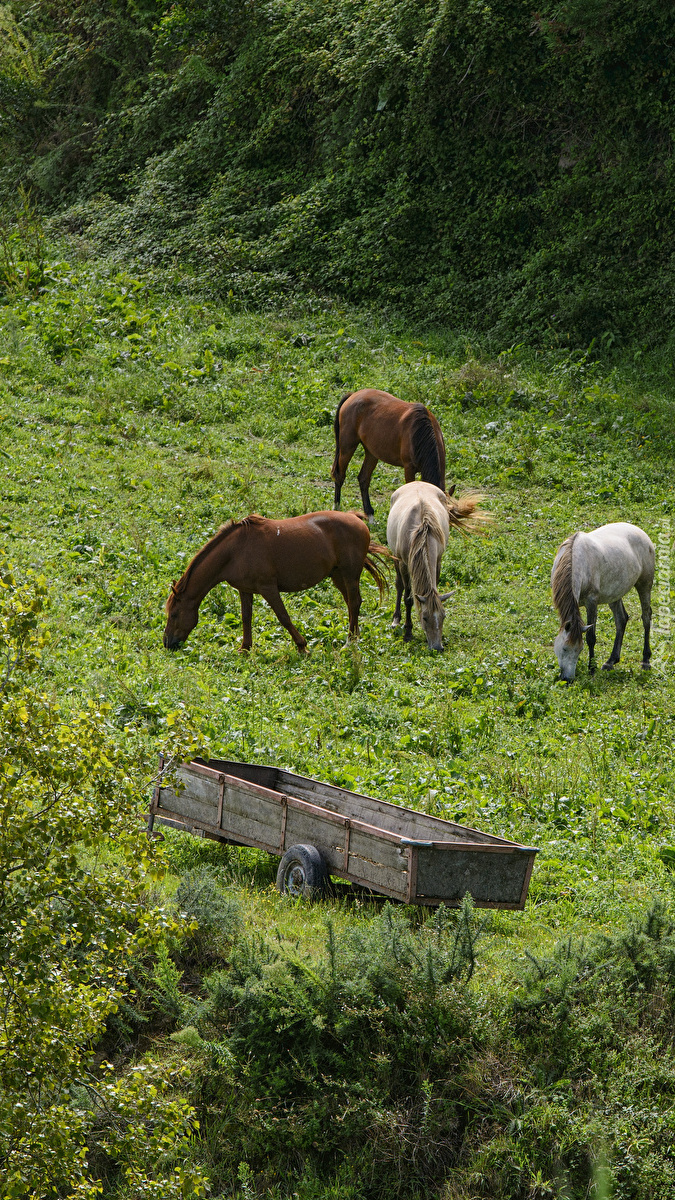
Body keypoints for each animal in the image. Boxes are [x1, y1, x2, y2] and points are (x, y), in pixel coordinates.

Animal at [160, 508, 389, 652]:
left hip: (349, 574)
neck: (236, 551)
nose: (167, 643)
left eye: (174, 614)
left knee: (354, 602)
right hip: (338, 576)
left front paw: (302, 646)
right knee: (352, 604)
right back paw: (354, 638)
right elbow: (246, 618)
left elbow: (283, 617)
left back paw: (350, 642)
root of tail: (356, 519)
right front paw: (245, 648)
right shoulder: (245, 590)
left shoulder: (268, 588)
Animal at [329, 388, 444, 520]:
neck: (420, 430)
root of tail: (353, 395)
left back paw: (370, 514)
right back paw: (337, 507)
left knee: (363, 478)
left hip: (372, 453)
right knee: (340, 475)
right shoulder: (409, 468)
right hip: (347, 447)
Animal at [386, 480, 485, 652]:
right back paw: (396, 620)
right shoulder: (404, 563)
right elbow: (408, 598)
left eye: (443, 616)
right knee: (399, 585)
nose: (438, 647)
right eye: (425, 618)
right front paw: (408, 631)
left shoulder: (438, 560)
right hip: (396, 558)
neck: (421, 532)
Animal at [547, 520, 653, 681]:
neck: (575, 558)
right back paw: (611, 661)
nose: (567, 679)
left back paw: (645, 660)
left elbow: (591, 637)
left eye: (579, 650)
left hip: (644, 585)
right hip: (615, 593)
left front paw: (592, 669)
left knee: (646, 617)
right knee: (621, 619)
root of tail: (641, 533)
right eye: (564, 649)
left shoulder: (592, 602)